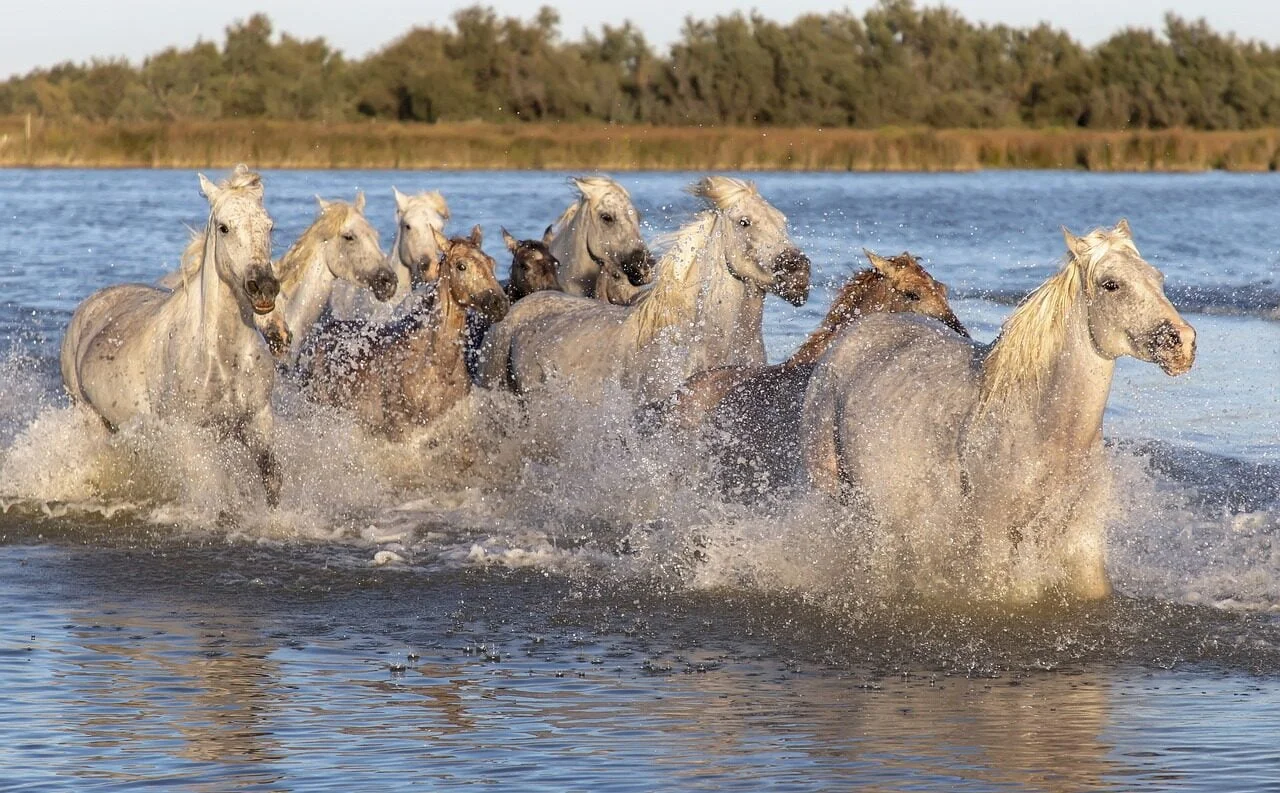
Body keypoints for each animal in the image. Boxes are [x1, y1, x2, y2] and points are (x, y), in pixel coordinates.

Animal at [60, 165, 283, 504]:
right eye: (224, 228)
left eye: (269, 227)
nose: (264, 288)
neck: (221, 356)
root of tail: (89, 305)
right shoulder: (193, 434)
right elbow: (213, 487)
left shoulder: (258, 420)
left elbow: (272, 479)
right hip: (89, 416)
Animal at [799, 221, 1197, 602]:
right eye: (1111, 284)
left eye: (1158, 277)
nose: (1182, 343)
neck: (1043, 425)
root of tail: (855, 333)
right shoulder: (993, 540)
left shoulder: (1081, 542)